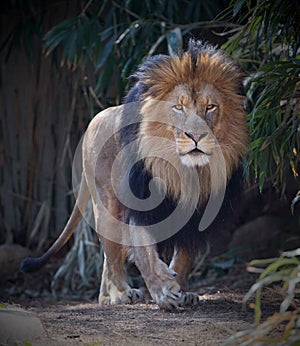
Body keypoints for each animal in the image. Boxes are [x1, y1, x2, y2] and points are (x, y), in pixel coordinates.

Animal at [19, 39, 248, 310]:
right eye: (178, 107)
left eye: (210, 107)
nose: (196, 136)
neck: (183, 171)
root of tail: (91, 123)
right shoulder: (140, 204)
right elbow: (144, 253)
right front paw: (163, 291)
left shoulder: (197, 215)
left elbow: (184, 257)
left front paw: (181, 289)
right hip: (107, 207)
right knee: (112, 257)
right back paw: (120, 294)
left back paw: (106, 297)